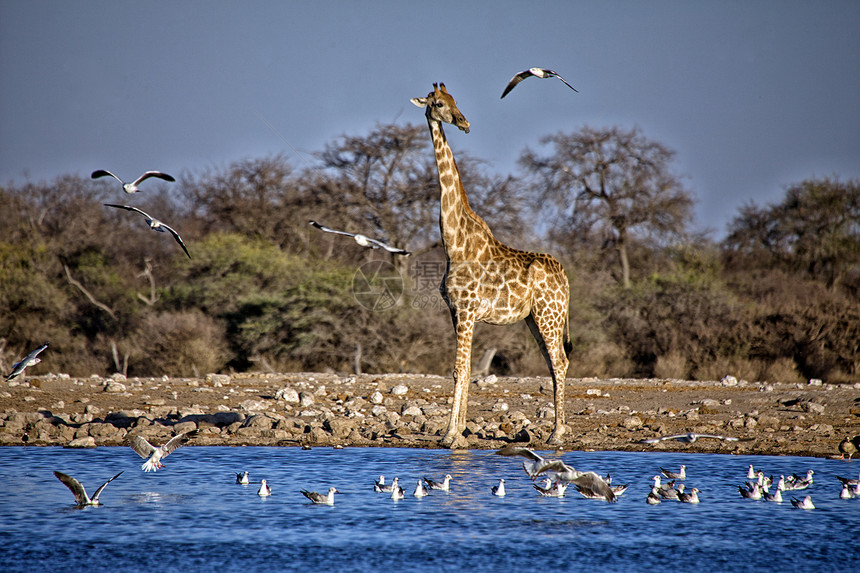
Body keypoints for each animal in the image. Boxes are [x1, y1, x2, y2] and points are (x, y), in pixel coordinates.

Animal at [410, 82, 572, 446]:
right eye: (439, 103)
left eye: (455, 101)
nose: (465, 123)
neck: (454, 244)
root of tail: (566, 278)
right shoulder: (457, 312)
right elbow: (466, 369)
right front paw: (459, 433)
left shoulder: (467, 311)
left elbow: (459, 369)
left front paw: (450, 436)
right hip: (535, 319)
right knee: (554, 362)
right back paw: (556, 431)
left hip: (550, 316)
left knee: (560, 362)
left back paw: (557, 435)